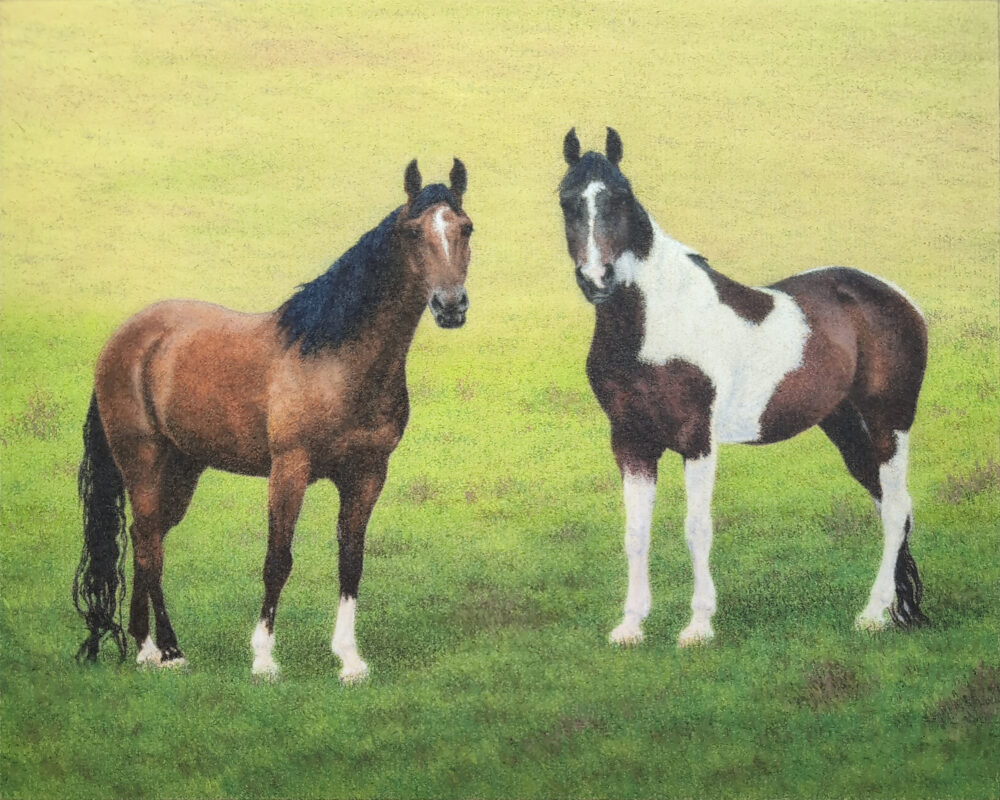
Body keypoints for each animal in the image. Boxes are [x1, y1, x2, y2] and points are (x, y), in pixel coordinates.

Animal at [74, 158, 474, 682]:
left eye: (466, 228)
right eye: (412, 232)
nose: (451, 305)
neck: (336, 357)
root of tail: (123, 338)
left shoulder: (367, 474)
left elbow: (351, 561)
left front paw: (350, 660)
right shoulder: (290, 469)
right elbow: (277, 560)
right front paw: (263, 659)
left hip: (181, 469)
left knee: (150, 538)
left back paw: (159, 649)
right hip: (142, 462)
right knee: (146, 543)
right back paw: (156, 650)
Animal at [558, 128, 928, 648]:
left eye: (621, 197)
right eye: (567, 200)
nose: (597, 278)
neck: (652, 323)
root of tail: (898, 299)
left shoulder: (697, 440)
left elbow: (696, 528)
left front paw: (698, 626)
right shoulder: (630, 442)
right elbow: (635, 533)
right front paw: (630, 626)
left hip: (889, 423)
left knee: (895, 510)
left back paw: (871, 616)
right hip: (847, 429)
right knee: (888, 505)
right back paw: (896, 610)